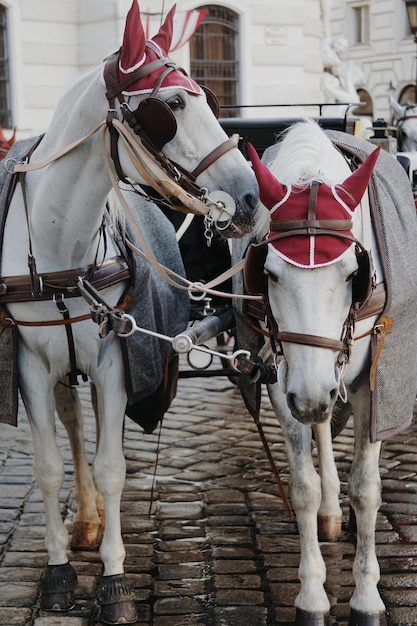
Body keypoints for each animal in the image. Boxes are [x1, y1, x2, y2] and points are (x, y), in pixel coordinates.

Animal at [0, 2, 258, 620]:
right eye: (172, 106)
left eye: (209, 99)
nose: (250, 196)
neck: (61, 248)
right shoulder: (29, 365)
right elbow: (48, 466)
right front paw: (59, 571)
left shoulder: (116, 360)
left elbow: (114, 465)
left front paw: (114, 578)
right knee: (73, 425)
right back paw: (85, 520)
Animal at [234, 118, 416, 624]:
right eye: (269, 274)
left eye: (352, 273)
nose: (313, 394)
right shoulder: (283, 383)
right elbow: (303, 487)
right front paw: (312, 595)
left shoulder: (371, 386)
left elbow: (367, 490)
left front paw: (366, 597)